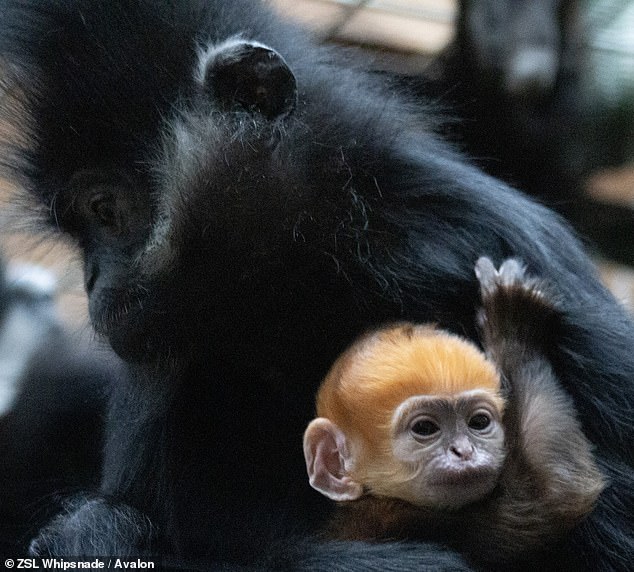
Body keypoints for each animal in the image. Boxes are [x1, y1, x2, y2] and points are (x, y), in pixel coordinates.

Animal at [304, 260, 604, 568]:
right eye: (425, 428)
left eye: (479, 422)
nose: (464, 450)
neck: (373, 500)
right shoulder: (414, 522)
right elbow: (555, 491)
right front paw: (514, 327)